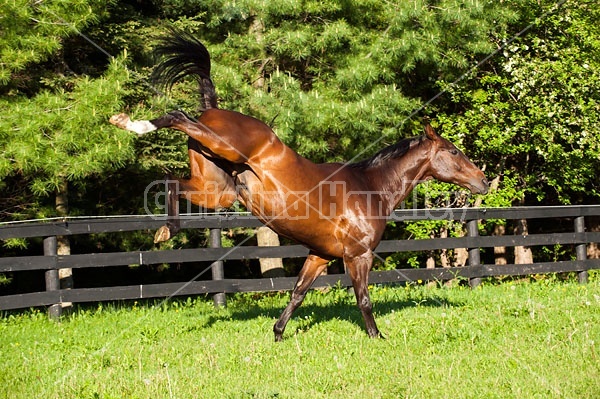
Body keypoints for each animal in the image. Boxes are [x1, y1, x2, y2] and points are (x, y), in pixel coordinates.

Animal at [111, 30, 488, 340]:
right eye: (453, 151)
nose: (483, 181)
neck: (371, 187)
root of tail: (215, 109)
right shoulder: (358, 256)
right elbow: (364, 299)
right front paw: (377, 337)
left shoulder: (320, 256)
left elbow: (297, 293)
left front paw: (278, 334)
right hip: (218, 151)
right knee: (178, 117)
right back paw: (130, 123)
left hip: (218, 191)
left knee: (172, 182)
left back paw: (166, 229)